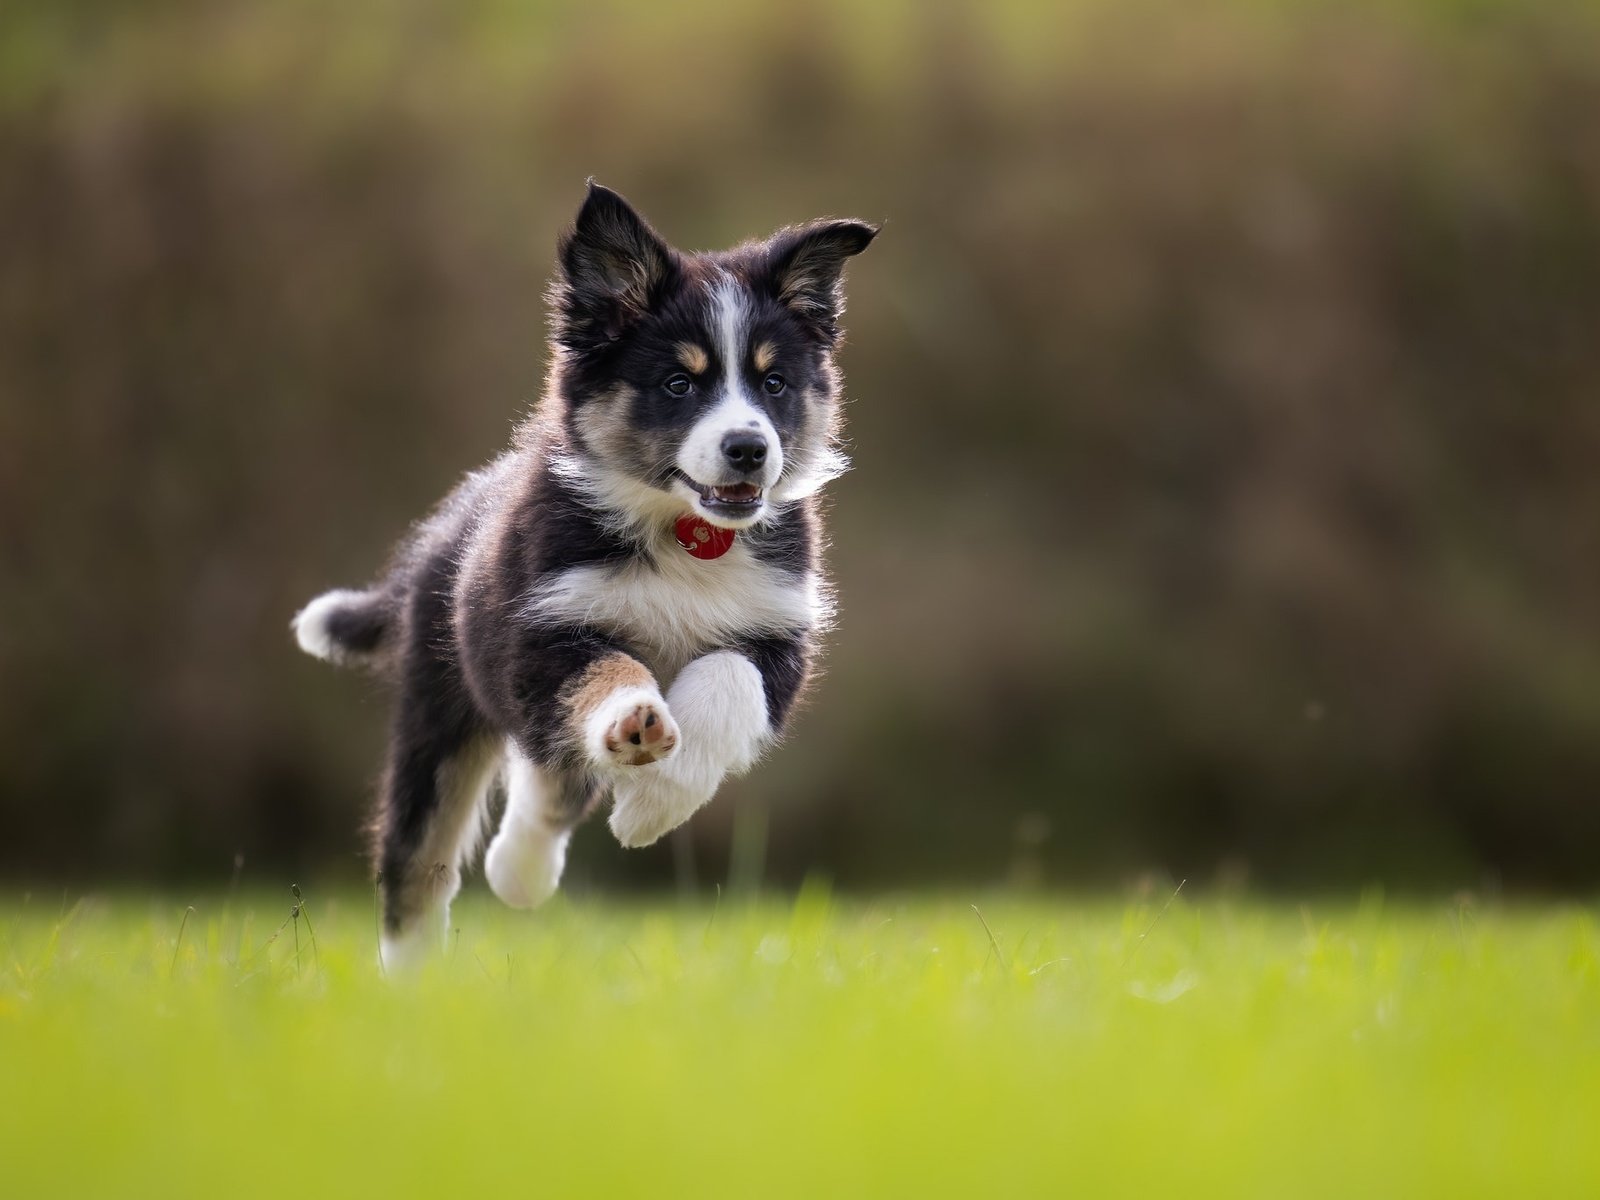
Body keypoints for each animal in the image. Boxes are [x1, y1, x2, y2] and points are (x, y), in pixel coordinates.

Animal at [294, 185, 883, 966]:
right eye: (677, 383)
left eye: (774, 383)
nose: (749, 449)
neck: (686, 534)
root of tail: (442, 527)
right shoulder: (542, 630)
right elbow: (607, 672)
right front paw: (635, 723)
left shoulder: (779, 636)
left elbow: (728, 679)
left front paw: (651, 807)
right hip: (439, 706)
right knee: (420, 857)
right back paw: (413, 977)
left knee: (549, 781)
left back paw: (518, 872)